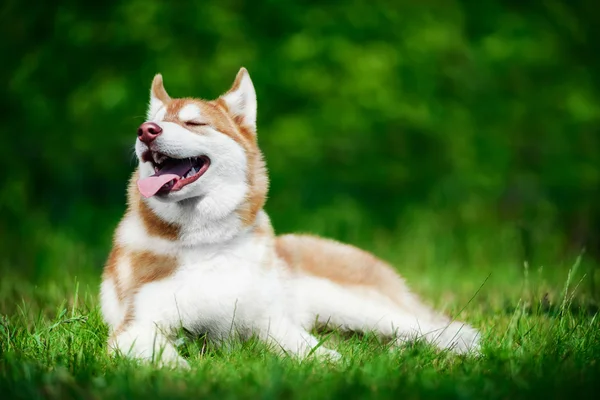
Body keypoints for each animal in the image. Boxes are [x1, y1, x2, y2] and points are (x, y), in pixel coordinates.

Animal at [101, 67, 480, 368]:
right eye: (155, 121)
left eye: (194, 123)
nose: (146, 130)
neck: (208, 243)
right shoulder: (135, 328)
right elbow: (167, 359)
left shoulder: (272, 322)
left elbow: (317, 353)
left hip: (356, 306)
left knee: (441, 328)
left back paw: (465, 351)